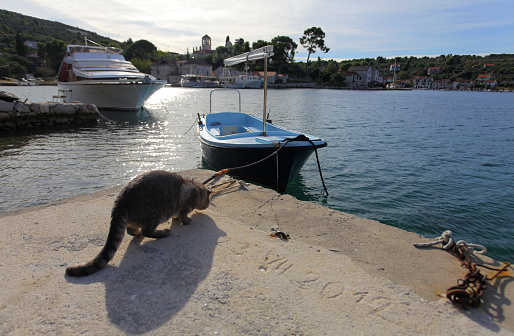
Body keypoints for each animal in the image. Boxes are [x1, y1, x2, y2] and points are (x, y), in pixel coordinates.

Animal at [66, 172, 210, 276]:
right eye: (208, 201)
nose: (208, 205)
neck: (196, 188)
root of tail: (120, 203)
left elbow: (177, 215)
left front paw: (176, 219)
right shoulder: (185, 206)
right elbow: (183, 216)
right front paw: (186, 220)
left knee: (131, 229)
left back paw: (137, 232)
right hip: (154, 214)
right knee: (147, 231)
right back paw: (162, 232)